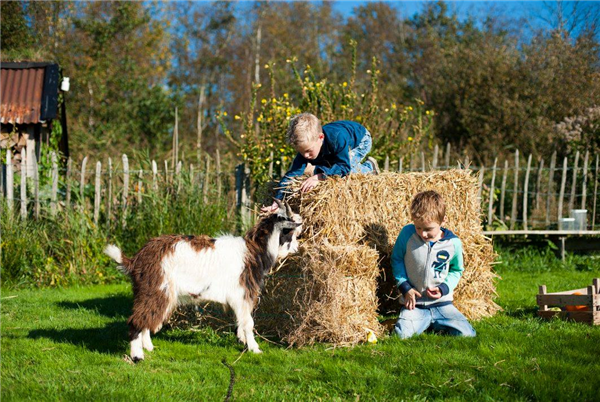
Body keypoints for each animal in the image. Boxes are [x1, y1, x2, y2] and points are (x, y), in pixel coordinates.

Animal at [104, 201, 300, 362]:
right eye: (290, 233)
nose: (297, 249)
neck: (255, 251)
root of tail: (137, 259)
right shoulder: (243, 294)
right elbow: (248, 322)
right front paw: (254, 349)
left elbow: (240, 321)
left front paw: (242, 340)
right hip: (156, 288)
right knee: (136, 320)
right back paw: (137, 356)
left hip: (155, 292)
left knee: (148, 317)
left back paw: (148, 347)